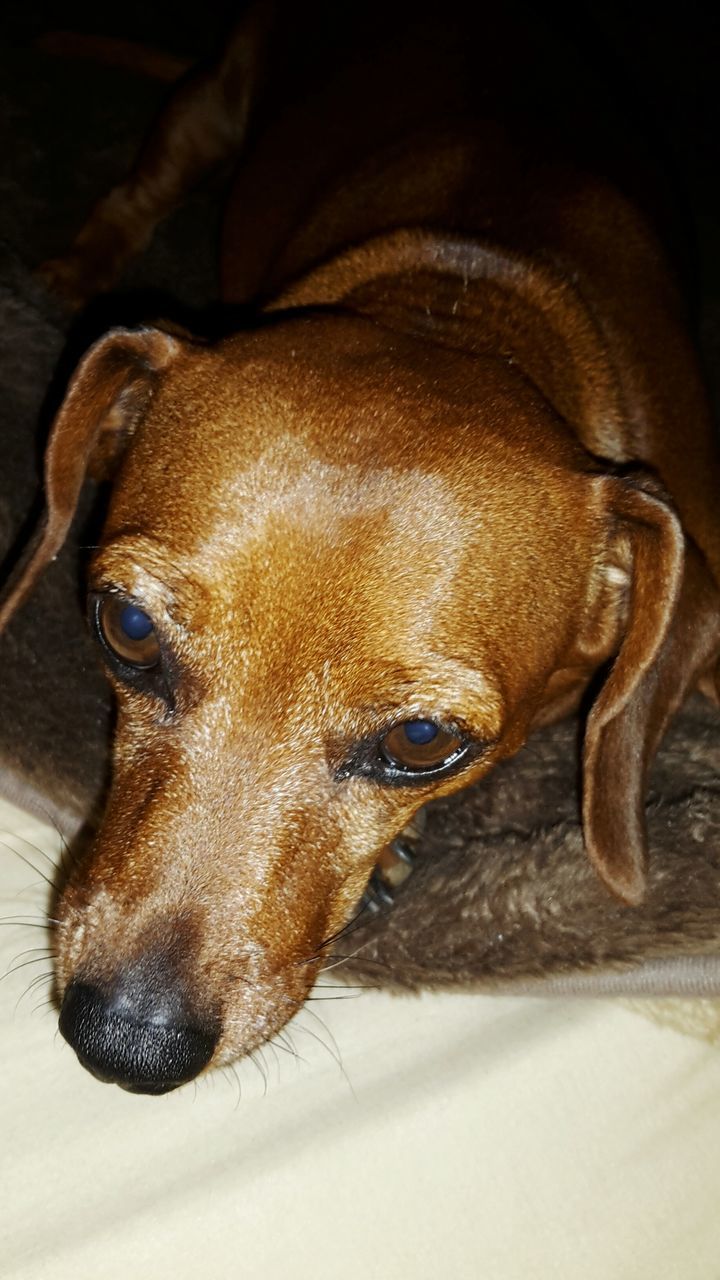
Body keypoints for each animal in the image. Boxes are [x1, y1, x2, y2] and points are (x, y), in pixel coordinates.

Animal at [1, 5, 717, 1095]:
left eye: (421, 740)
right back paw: (72, 267)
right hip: (206, 109)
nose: (126, 1044)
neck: (464, 299)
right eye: (127, 628)